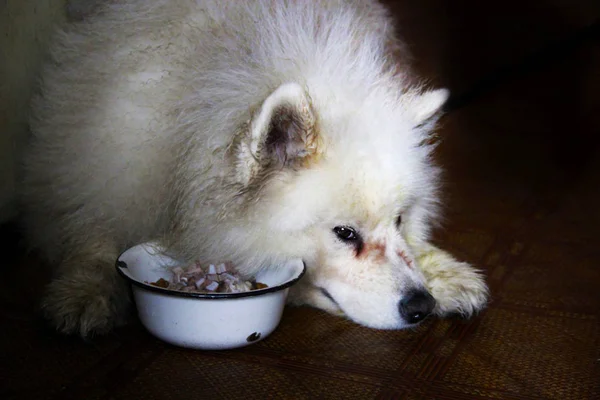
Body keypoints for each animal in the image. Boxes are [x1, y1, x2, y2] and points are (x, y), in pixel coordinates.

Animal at [19, 0, 488, 338]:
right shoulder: (101, 161)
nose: (420, 306)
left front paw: (441, 271)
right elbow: (91, 228)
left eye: (399, 220)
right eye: (344, 233)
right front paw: (85, 289)